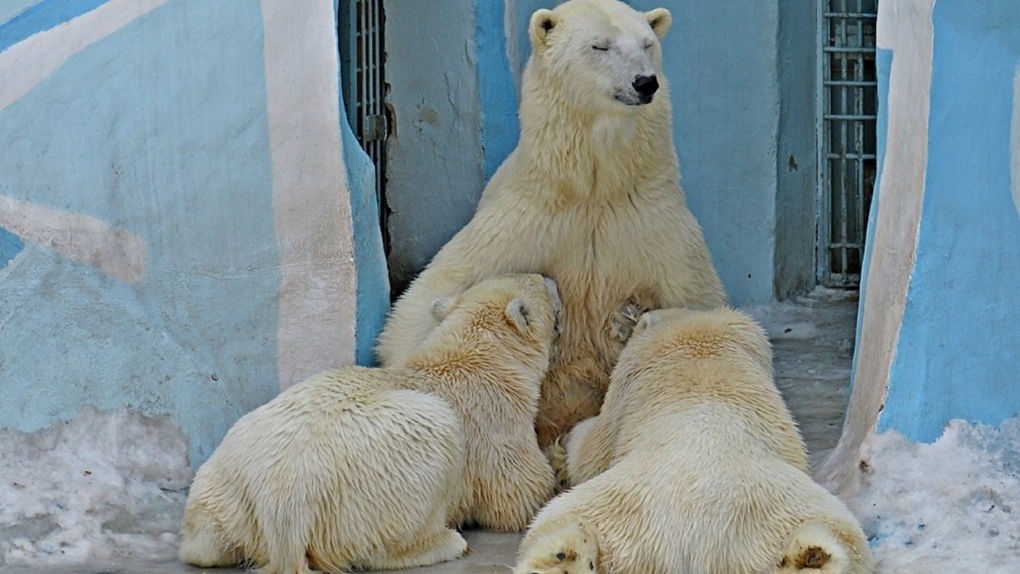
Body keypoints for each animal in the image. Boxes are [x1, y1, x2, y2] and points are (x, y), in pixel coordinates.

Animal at [175, 275, 558, 574]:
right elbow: (520, 494)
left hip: (228, 486)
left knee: (205, 544)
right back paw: (445, 541)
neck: (476, 357)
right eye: (541, 282)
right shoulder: (495, 418)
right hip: (372, 481)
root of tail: (283, 504)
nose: (553, 279)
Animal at [375, 0, 726, 448]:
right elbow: (426, 299)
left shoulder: (655, 226)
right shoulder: (525, 222)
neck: (594, 189)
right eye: (600, 45)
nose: (645, 82)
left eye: (647, 44)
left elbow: (700, 302)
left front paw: (628, 320)